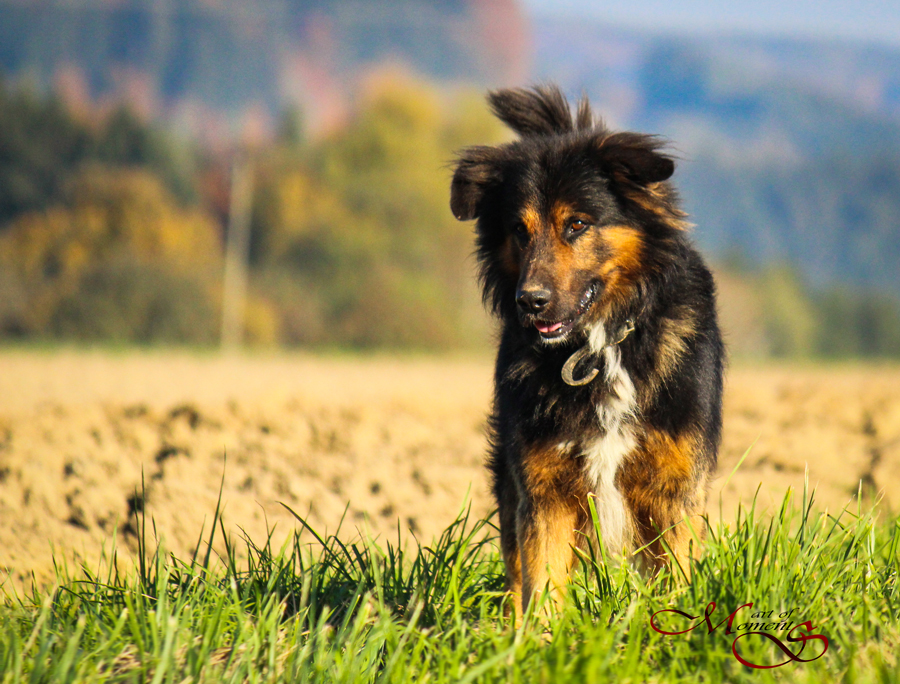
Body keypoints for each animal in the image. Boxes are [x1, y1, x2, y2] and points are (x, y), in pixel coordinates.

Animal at [450, 83, 724, 612]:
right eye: (519, 230)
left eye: (576, 224)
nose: (530, 302)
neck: (601, 343)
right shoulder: (543, 485)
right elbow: (540, 584)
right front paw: (538, 634)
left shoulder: (673, 487)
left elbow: (676, 577)